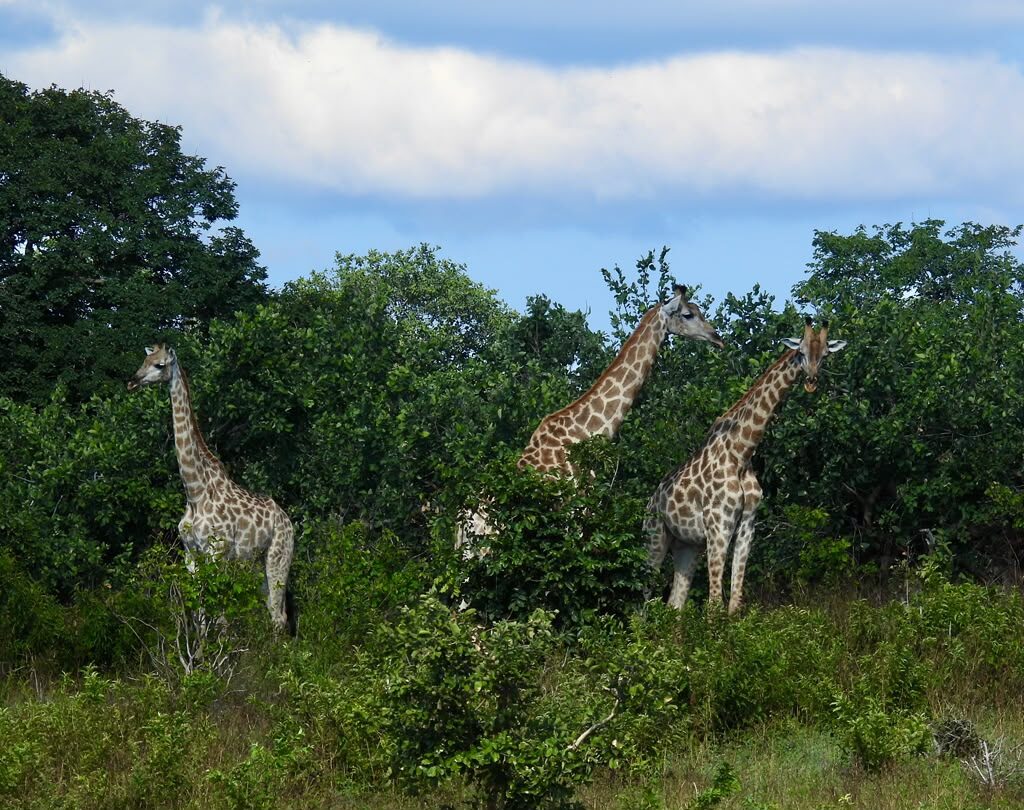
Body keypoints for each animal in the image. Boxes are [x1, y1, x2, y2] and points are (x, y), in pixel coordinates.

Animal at [128, 345, 294, 632]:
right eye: (144, 360)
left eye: (160, 365)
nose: (134, 381)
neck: (195, 492)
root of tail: (289, 523)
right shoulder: (191, 555)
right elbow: (200, 614)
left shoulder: (217, 553)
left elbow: (219, 615)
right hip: (258, 561)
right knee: (269, 609)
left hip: (279, 556)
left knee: (278, 615)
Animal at [645, 318, 846, 614]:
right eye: (801, 352)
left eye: (825, 355)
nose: (811, 381)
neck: (741, 452)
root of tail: (650, 501)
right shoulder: (718, 526)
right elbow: (714, 604)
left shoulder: (747, 526)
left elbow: (735, 600)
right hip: (654, 537)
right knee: (642, 600)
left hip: (686, 545)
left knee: (675, 604)